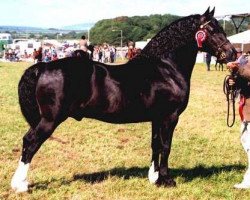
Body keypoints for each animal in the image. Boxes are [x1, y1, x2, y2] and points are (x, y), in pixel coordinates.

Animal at [11, 7, 236, 192]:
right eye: (212, 29)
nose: (232, 53)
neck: (166, 68)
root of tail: (43, 67)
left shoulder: (156, 118)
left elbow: (155, 144)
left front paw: (153, 177)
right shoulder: (170, 117)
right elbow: (166, 146)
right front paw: (166, 180)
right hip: (50, 120)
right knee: (30, 142)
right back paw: (20, 185)